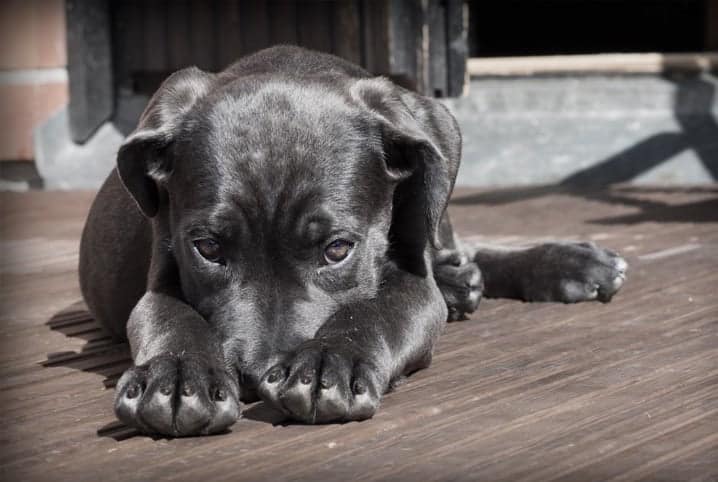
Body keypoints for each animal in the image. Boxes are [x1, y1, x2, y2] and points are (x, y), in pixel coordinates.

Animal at [80, 46, 632, 436]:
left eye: (338, 249)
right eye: (209, 249)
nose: (257, 377)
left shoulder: (413, 284)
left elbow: (376, 309)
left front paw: (331, 361)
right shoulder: (161, 274)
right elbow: (170, 317)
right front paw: (175, 376)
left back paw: (563, 264)